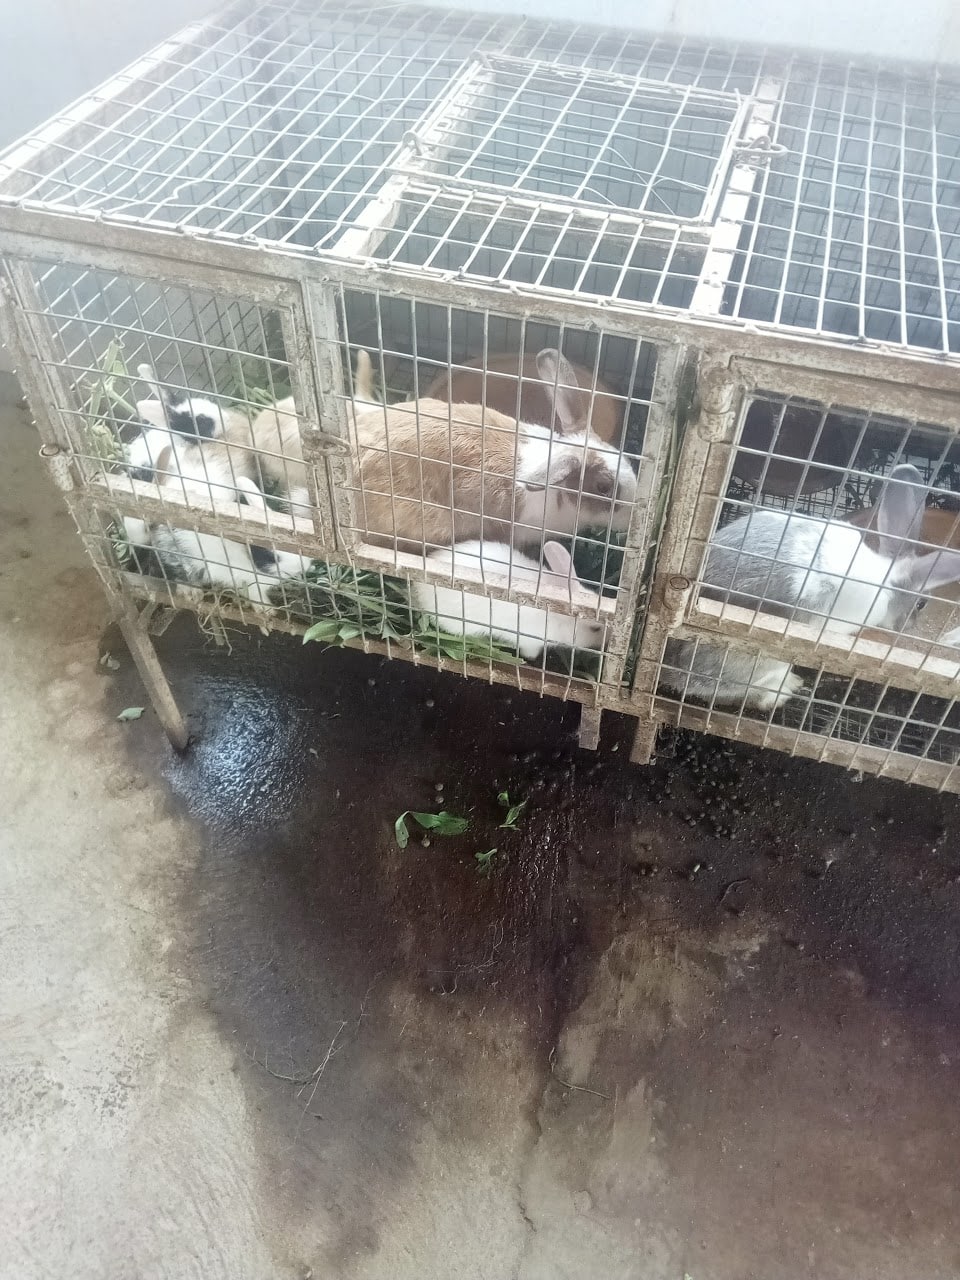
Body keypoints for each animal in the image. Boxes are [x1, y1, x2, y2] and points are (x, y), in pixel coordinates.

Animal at [660, 465, 960, 716]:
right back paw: (782, 691)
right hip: (764, 660)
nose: (909, 627)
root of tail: (673, 670)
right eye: (921, 603)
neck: (885, 579)